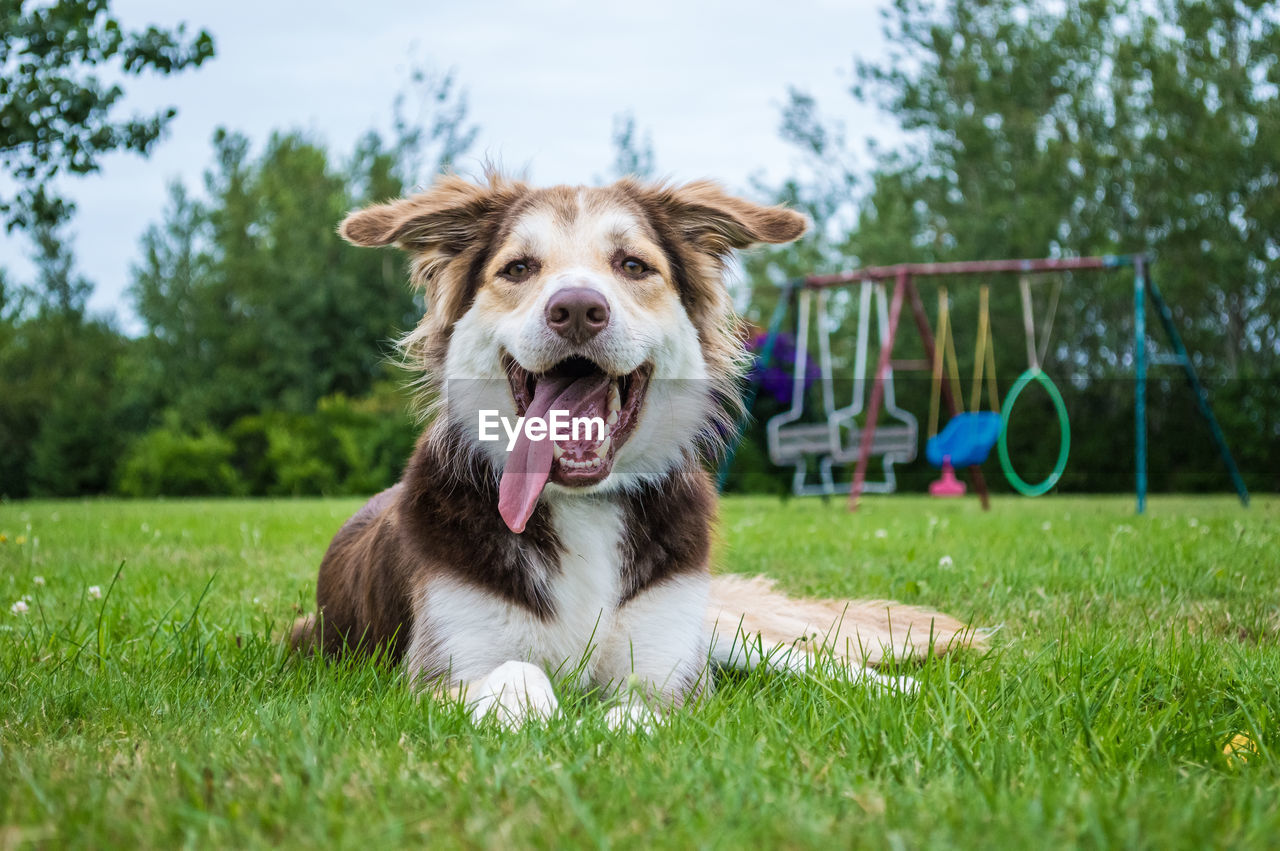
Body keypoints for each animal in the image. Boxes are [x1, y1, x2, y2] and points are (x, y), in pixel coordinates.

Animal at [293, 174, 977, 731]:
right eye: (518, 269)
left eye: (632, 265)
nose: (576, 308)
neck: (582, 504)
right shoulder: (437, 673)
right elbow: (522, 682)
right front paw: (555, 720)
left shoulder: (670, 670)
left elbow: (639, 712)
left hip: (717, 626)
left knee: (792, 654)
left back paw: (896, 686)